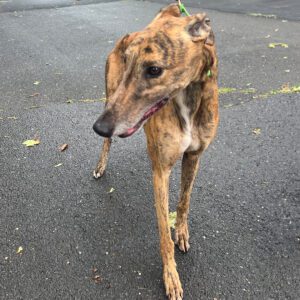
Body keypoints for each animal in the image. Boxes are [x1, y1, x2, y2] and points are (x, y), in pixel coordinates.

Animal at [92, 3, 218, 298]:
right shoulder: (161, 172)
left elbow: (184, 200)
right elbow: (162, 233)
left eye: (154, 70)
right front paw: (171, 276)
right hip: (110, 93)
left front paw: (181, 232)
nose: (99, 127)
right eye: (128, 61)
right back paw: (101, 165)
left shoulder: (193, 156)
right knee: (108, 144)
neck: (187, 97)